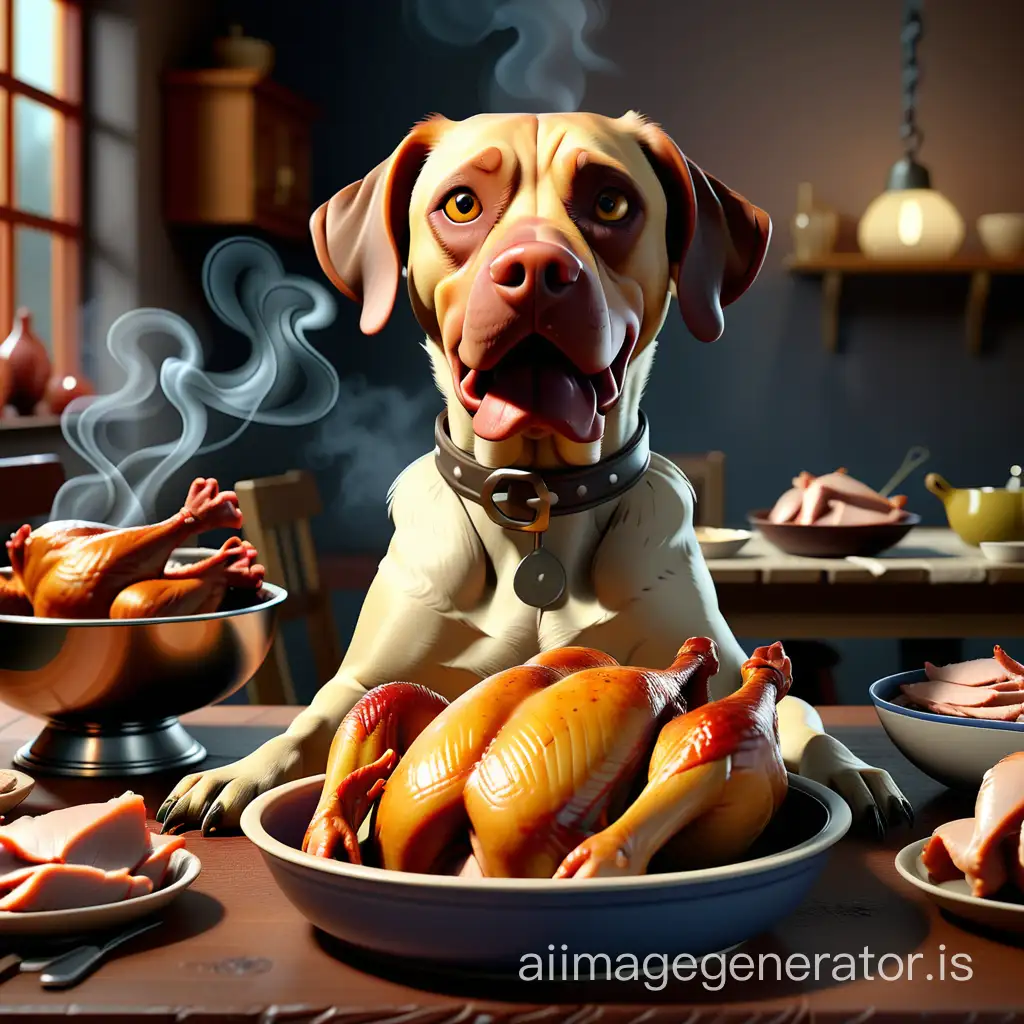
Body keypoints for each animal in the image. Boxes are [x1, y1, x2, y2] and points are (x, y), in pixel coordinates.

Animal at [155, 110, 909, 839]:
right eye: (462, 203)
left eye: (610, 201)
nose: (540, 268)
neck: (538, 506)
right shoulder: (360, 679)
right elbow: (309, 721)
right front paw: (236, 772)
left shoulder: (721, 668)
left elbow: (797, 716)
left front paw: (851, 769)